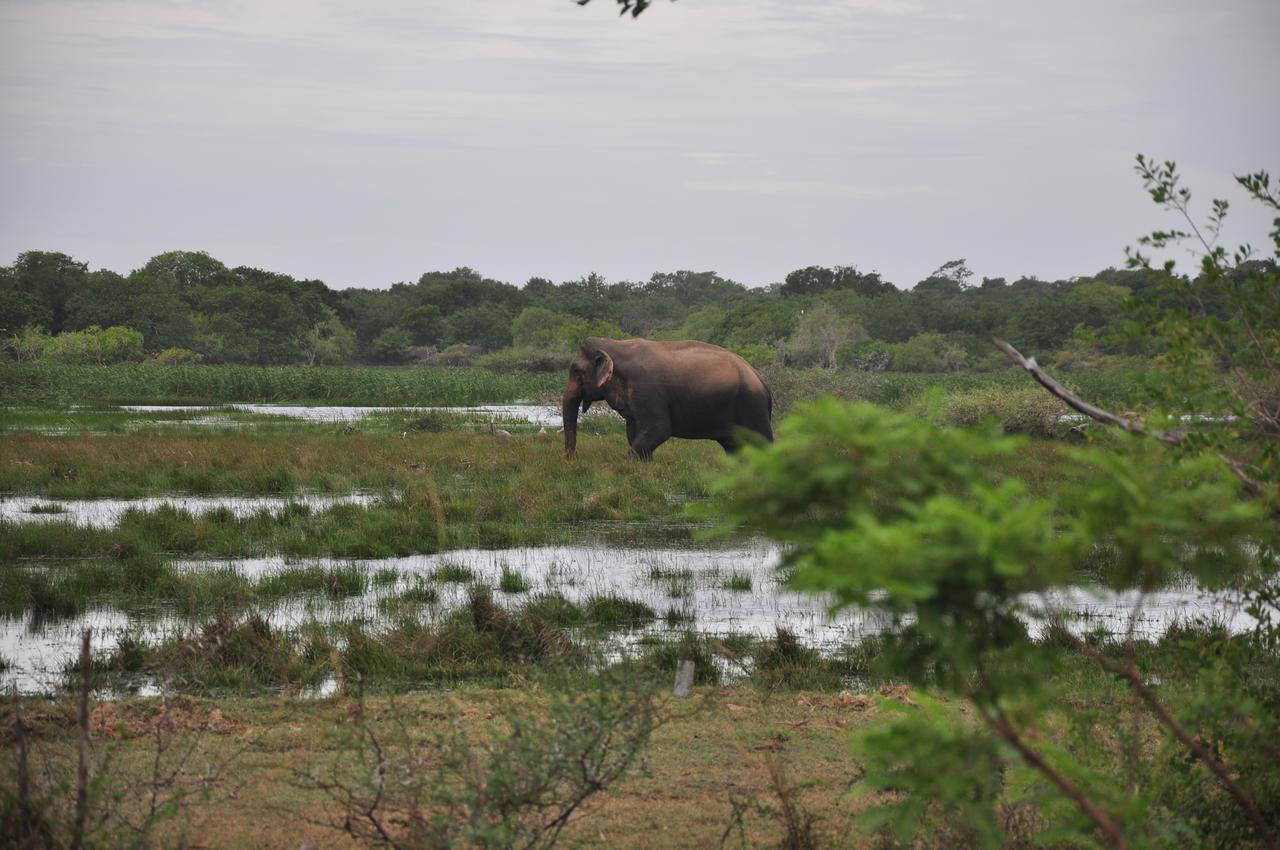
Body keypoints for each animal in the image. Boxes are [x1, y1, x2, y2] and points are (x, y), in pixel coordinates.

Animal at [558, 337, 768, 460]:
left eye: (577, 371)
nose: (567, 459)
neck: (616, 344)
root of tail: (760, 377)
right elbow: (632, 431)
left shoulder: (648, 391)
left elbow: (659, 429)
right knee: (734, 448)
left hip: (752, 406)